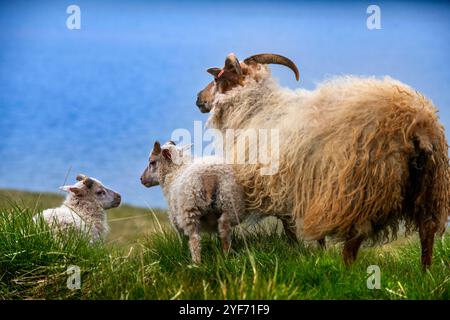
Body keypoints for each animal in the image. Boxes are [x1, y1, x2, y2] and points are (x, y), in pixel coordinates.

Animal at [196, 52, 450, 268]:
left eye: (219, 78)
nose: (198, 98)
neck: (257, 110)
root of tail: (417, 123)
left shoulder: (275, 183)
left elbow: (288, 224)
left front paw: (298, 250)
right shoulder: (297, 188)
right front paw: (318, 252)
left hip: (360, 189)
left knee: (356, 235)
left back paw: (346, 271)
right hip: (431, 185)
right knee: (427, 230)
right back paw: (425, 273)